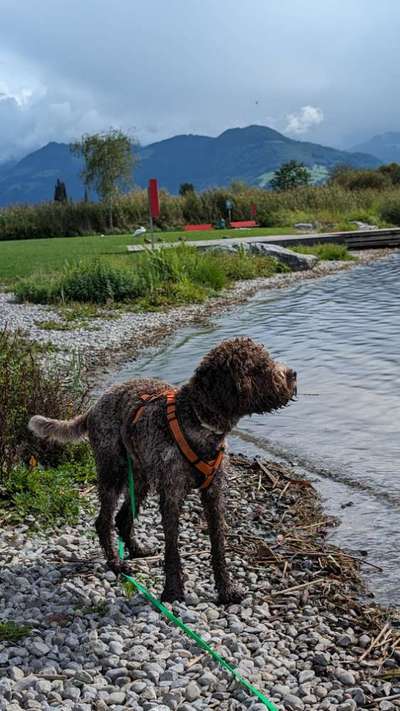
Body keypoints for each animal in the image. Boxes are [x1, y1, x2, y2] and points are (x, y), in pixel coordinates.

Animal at [28, 336, 296, 604]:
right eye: (258, 368)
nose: (292, 374)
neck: (197, 420)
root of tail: (93, 408)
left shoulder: (214, 493)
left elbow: (218, 544)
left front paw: (226, 589)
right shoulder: (172, 496)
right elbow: (172, 548)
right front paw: (173, 590)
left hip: (140, 479)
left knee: (122, 518)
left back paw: (137, 550)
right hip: (112, 474)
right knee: (103, 522)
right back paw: (116, 563)